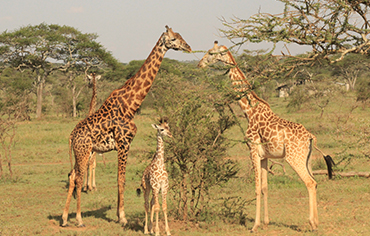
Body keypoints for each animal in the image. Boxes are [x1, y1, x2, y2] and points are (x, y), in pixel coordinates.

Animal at [61, 25, 191, 227]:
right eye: (174, 39)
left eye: (180, 36)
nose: (188, 47)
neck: (131, 104)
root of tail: (71, 136)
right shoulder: (124, 143)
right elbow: (121, 179)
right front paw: (122, 217)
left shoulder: (121, 145)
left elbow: (119, 179)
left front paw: (118, 214)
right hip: (84, 151)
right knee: (79, 177)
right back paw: (79, 219)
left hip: (81, 152)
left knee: (73, 176)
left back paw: (65, 218)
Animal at [199, 41, 336, 232]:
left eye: (211, 53)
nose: (200, 64)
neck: (249, 111)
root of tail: (311, 137)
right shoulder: (264, 156)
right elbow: (265, 187)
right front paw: (265, 222)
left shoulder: (252, 150)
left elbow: (256, 187)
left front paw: (254, 226)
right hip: (305, 159)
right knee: (315, 182)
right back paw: (315, 222)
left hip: (294, 158)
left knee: (309, 182)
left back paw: (312, 224)